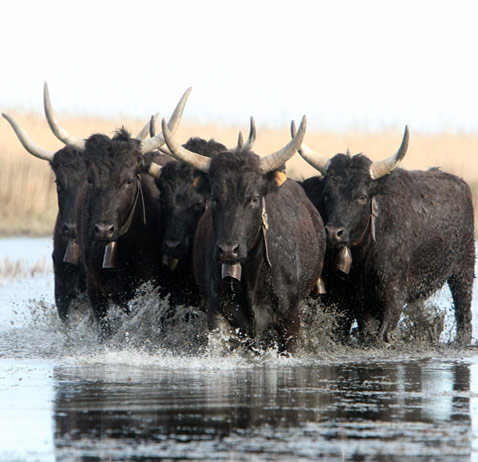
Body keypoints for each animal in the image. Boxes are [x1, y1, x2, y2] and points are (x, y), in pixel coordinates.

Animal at [298, 126, 474, 342]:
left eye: (362, 197)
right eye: (326, 194)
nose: (333, 232)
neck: (365, 251)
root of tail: (461, 184)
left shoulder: (394, 295)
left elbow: (383, 334)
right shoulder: (358, 300)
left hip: (463, 270)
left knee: (464, 312)